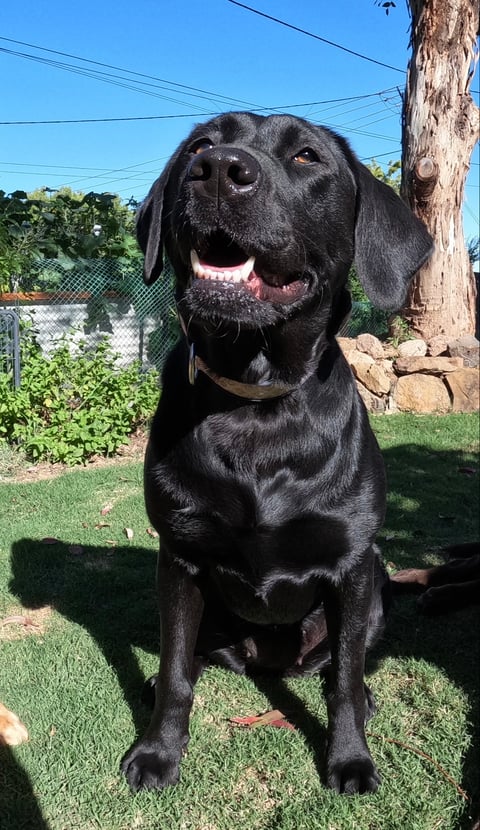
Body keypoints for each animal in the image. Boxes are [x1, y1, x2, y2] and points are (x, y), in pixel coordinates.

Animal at [120, 112, 432, 800]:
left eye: (307, 157)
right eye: (201, 145)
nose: (218, 171)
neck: (257, 402)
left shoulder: (352, 565)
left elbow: (344, 679)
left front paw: (349, 759)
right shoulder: (178, 557)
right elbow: (177, 670)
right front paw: (158, 751)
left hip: (378, 588)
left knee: (340, 666)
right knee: (192, 658)